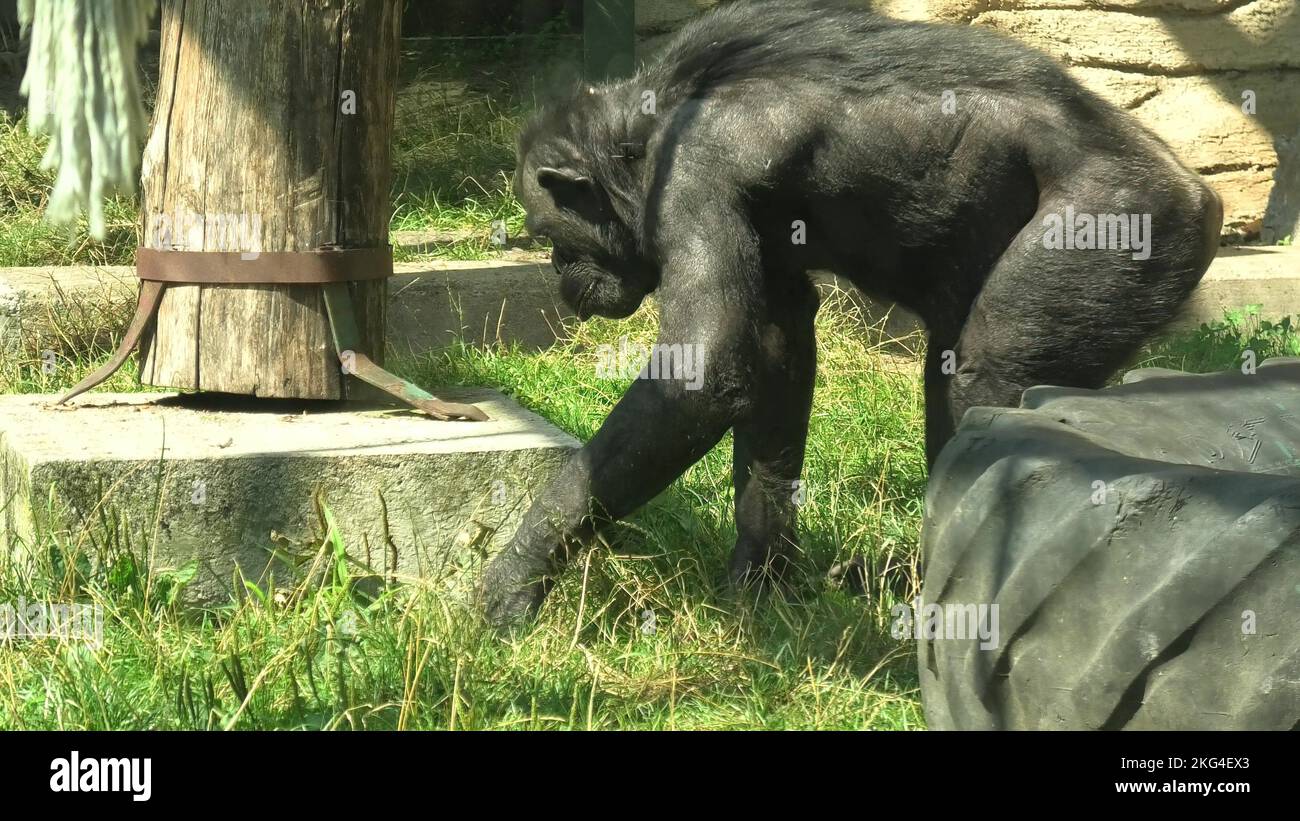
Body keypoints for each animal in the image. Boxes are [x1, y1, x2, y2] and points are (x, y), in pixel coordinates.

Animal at [475, 1, 1216, 628]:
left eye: (547, 233)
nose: (556, 269)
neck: (644, 133)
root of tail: (1199, 193)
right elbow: (776, 355)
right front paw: (761, 579)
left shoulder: (694, 176)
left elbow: (703, 370)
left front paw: (519, 571)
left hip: (1116, 227)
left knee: (991, 374)